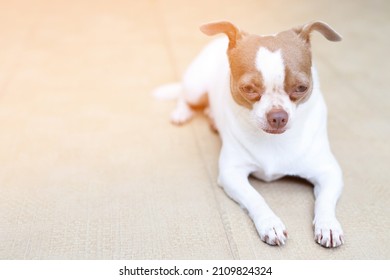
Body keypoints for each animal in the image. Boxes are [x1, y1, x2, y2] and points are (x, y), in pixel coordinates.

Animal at [155, 20, 344, 247]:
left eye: (301, 87)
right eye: (248, 88)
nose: (278, 116)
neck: (274, 141)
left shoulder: (329, 172)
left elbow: (325, 201)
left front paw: (328, 225)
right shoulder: (232, 174)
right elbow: (256, 198)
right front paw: (270, 224)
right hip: (195, 87)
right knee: (184, 96)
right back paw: (181, 113)